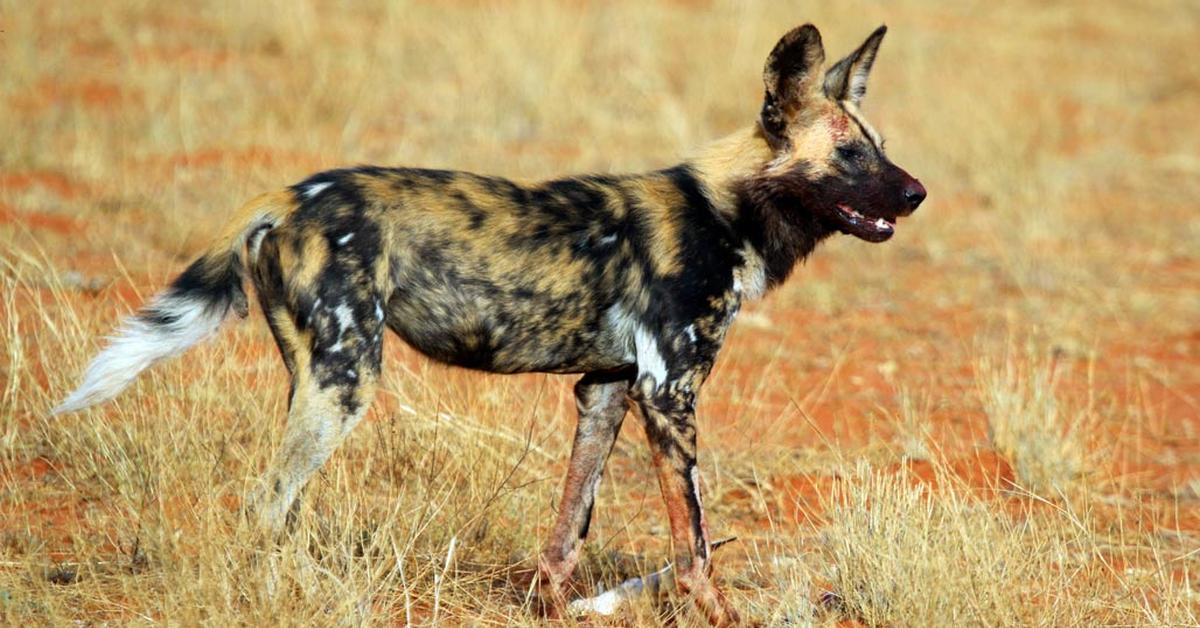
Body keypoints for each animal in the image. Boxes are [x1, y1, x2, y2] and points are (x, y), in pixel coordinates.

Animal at [56, 23, 926, 624]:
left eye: (880, 146)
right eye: (850, 155)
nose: (916, 192)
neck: (726, 211)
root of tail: (289, 194)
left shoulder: (608, 390)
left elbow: (569, 529)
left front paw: (547, 607)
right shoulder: (668, 393)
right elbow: (696, 546)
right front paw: (721, 613)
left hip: (316, 376)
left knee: (282, 505)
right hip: (348, 379)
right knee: (266, 503)